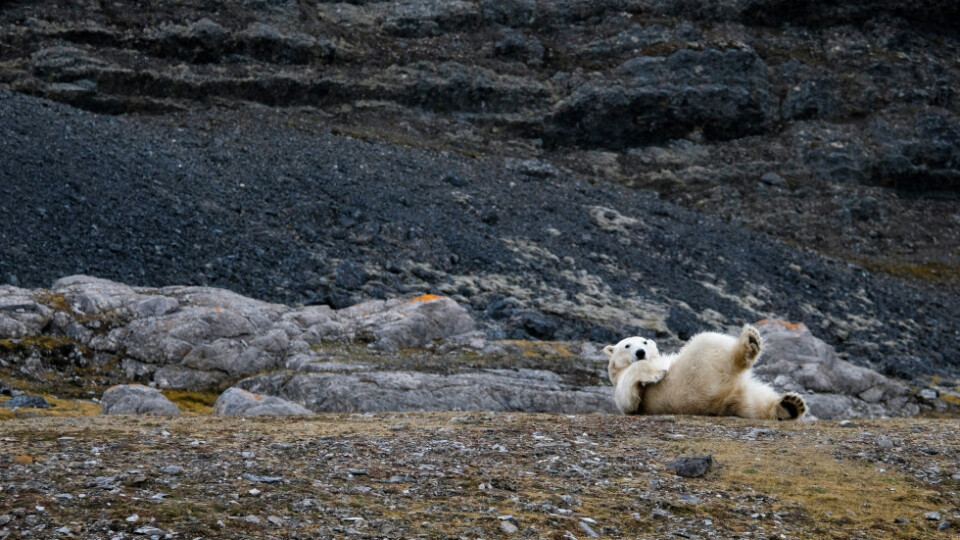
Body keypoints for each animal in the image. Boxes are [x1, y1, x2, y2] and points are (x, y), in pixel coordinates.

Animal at [608, 322, 804, 420]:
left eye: (644, 342)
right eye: (627, 345)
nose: (640, 352)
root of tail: (719, 400)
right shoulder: (627, 390)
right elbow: (629, 398)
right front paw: (657, 373)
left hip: (735, 393)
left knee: (756, 401)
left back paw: (790, 405)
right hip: (694, 374)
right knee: (708, 340)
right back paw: (749, 342)